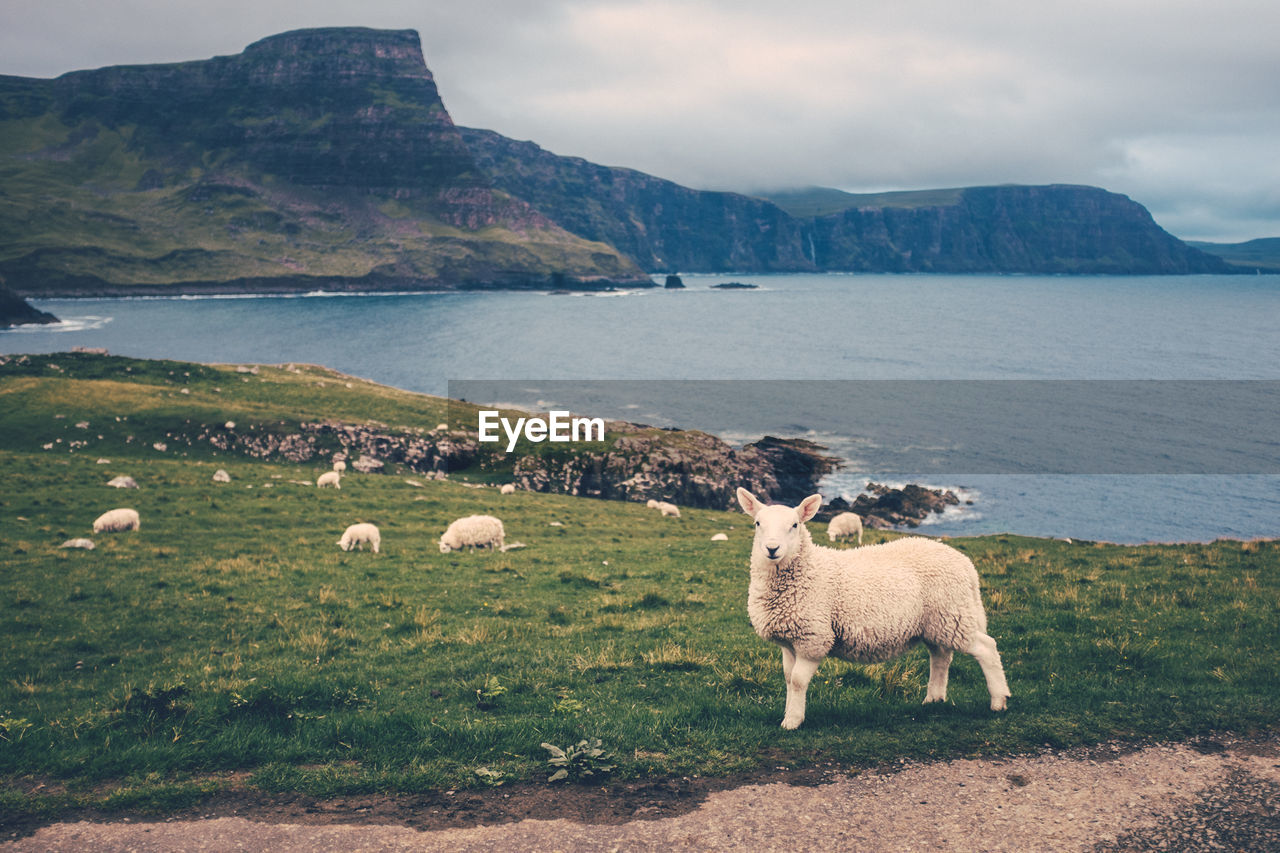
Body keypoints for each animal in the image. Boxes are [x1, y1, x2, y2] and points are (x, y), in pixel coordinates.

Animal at [742, 489, 1008, 727]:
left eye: (795, 525)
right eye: (757, 523)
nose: (772, 548)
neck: (808, 570)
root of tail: (967, 565)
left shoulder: (814, 638)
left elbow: (797, 681)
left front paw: (792, 722)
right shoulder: (790, 641)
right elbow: (788, 678)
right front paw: (789, 714)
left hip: (953, 615)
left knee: (987, 648)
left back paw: (999, 701)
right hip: (936, 622)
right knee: (941, 657)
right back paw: (933, 699)